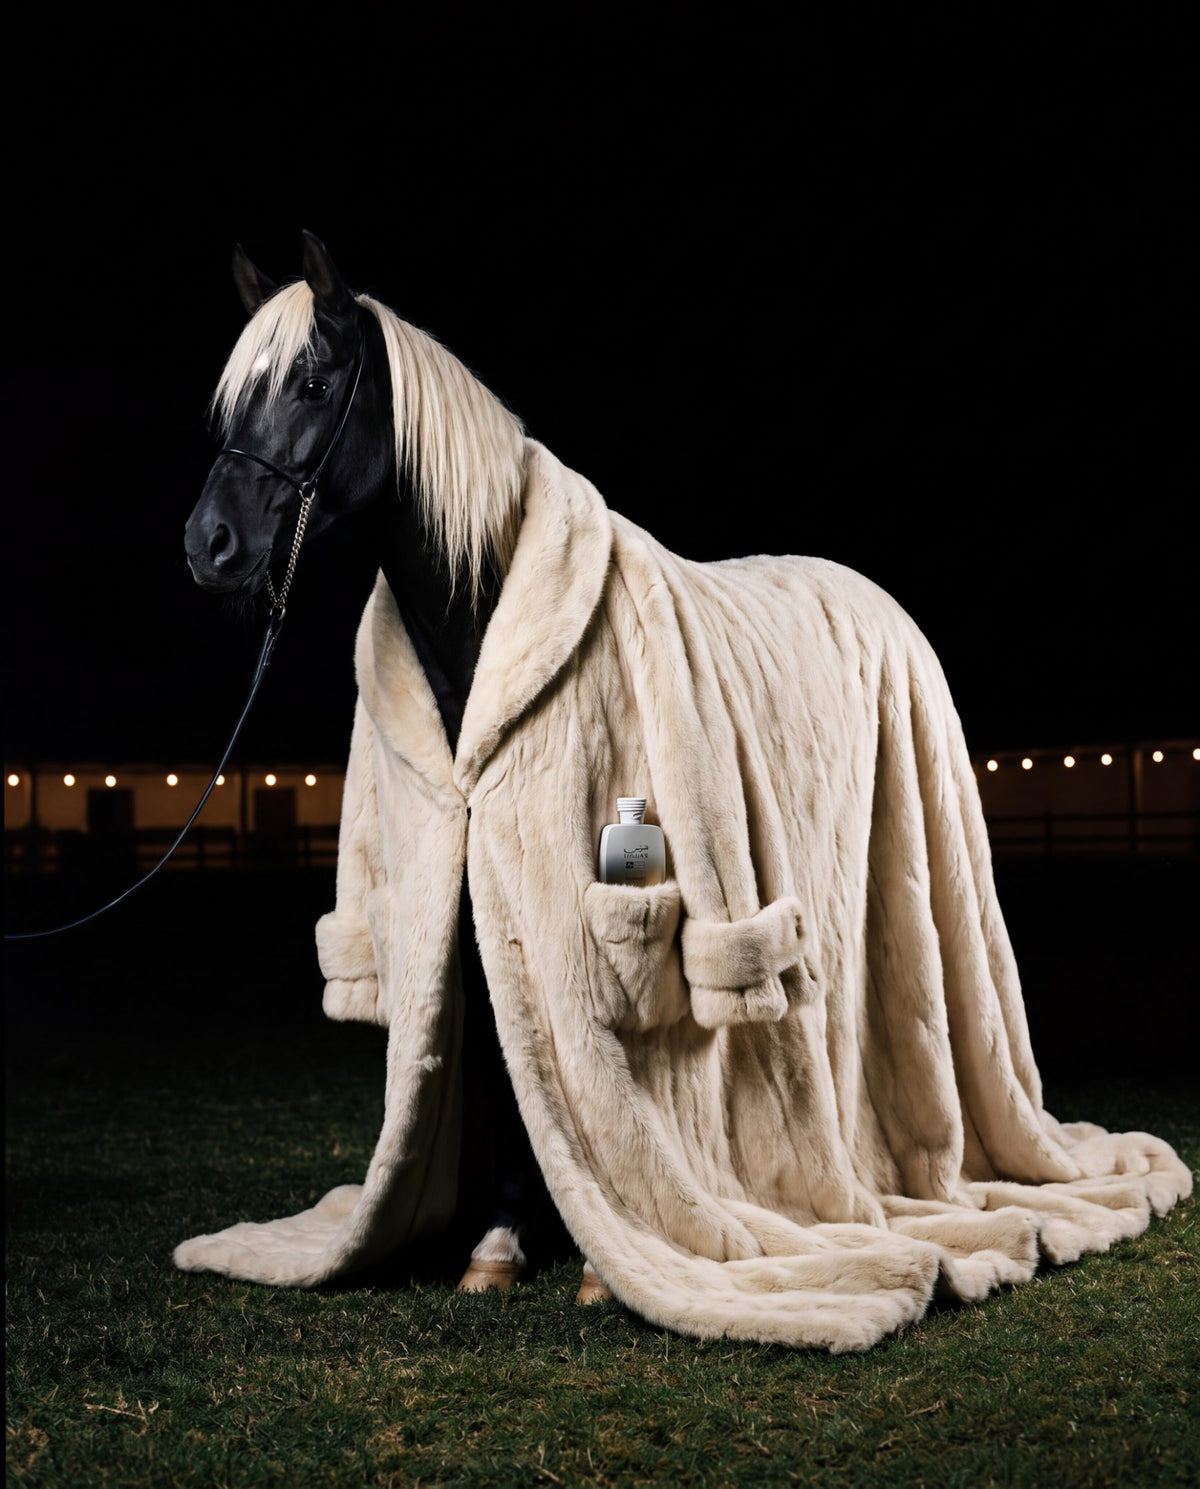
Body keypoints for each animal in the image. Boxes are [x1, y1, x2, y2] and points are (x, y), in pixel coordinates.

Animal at [184, 231, 609, 1302]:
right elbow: (498, 1037)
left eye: (311, 381)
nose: (208, 545)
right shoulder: (463, 870)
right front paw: (500, 1239)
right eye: (233, 400)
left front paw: (596, 1253)